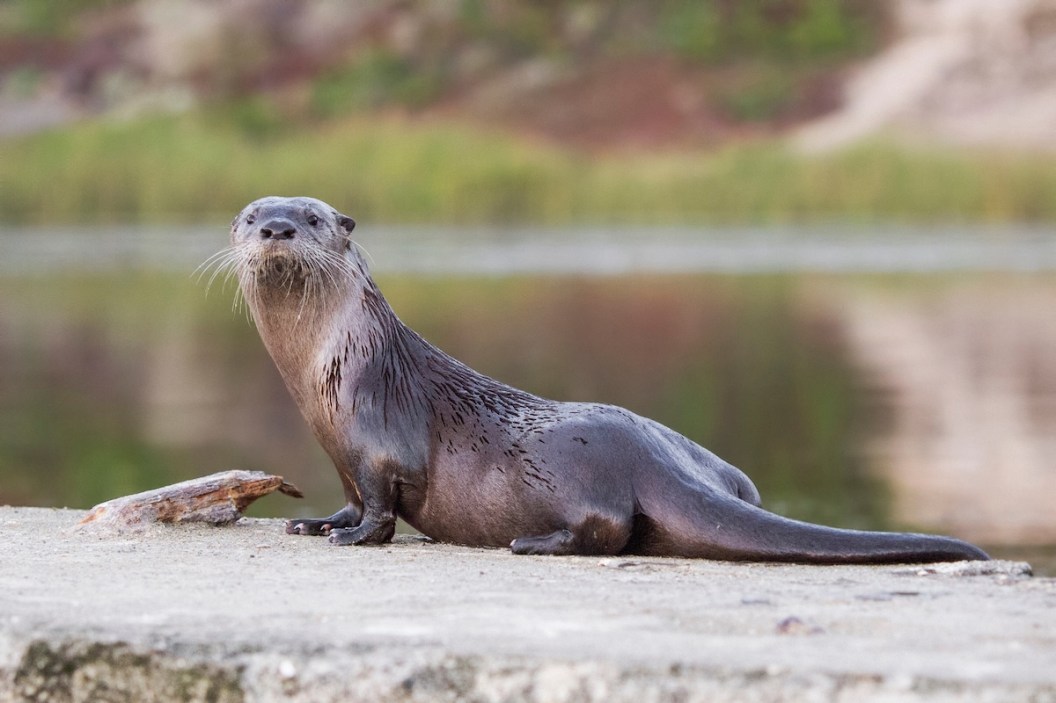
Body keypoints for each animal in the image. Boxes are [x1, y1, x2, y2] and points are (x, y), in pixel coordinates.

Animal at [215, 196, 988, 563]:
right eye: (250, 215)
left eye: (313, 217)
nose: (277, 228)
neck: (332, 367)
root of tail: (650, 458)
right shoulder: (341, 453)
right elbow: (348, 500)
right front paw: (317, 522)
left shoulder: (379, 442)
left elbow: (378, 510)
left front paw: (352, 538)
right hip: (716, 467)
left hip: (565, 470)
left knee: (608, 527)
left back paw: (534, 543)